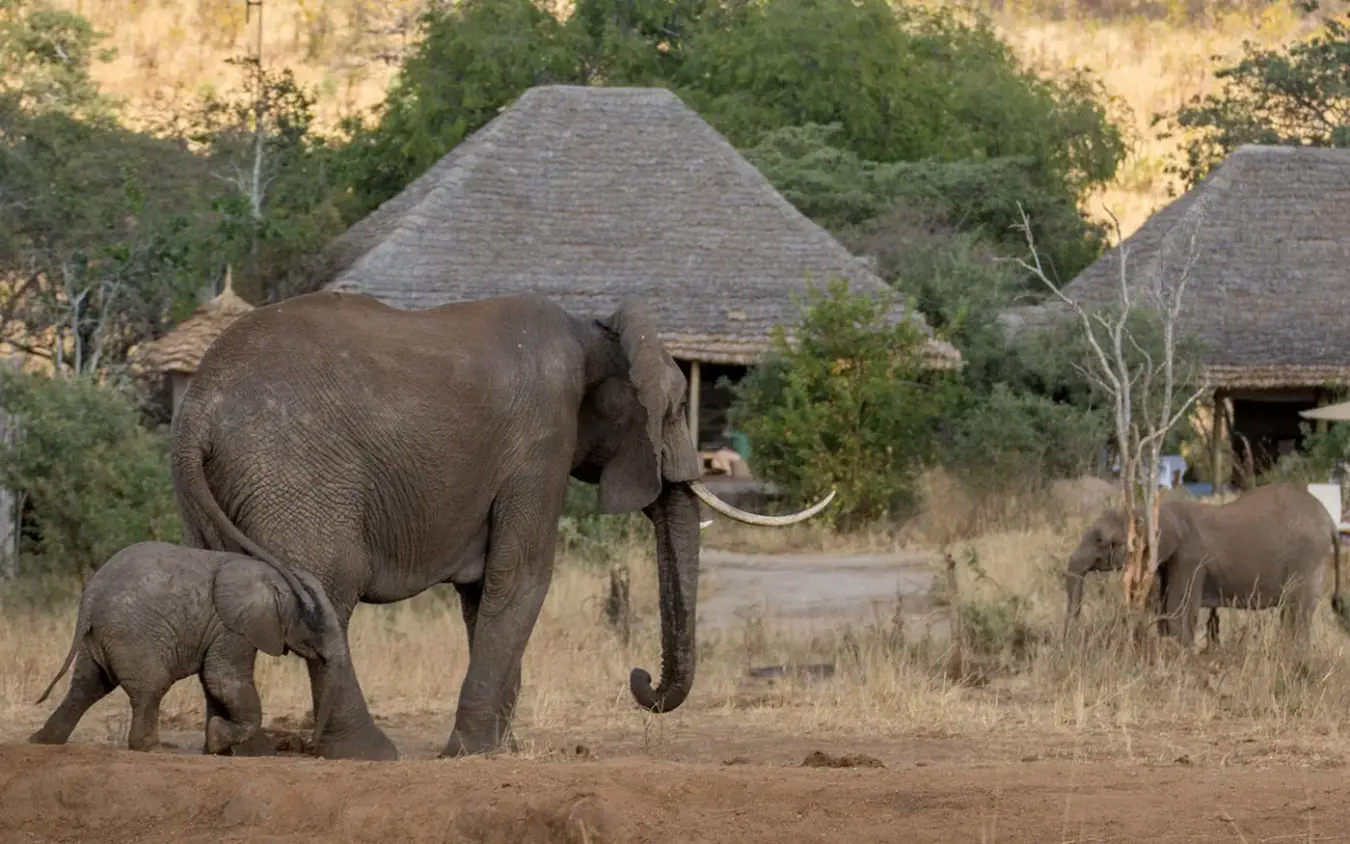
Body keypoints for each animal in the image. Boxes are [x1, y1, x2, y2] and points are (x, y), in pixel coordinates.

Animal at [28, 541, 345, 754]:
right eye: (316, 621)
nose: (309, 746)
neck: (273, 575)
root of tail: (91, 594)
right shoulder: (233, 627)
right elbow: (224, 680)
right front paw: (217, 739)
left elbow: (215, 680)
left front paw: (217, 745)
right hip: (132, 634)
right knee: (150, 688)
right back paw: (154, 748)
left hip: (98, 635)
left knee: (88, 685)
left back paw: (43, 740)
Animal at [169, 290, 835, 761]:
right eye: (671, 410)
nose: (640, 677)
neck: (592, 328)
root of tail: (198, 406)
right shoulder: (541, 444)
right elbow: (520, 578)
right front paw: (473, 754)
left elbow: (484, 591)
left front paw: (499, 750)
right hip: (293, 472)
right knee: (324, 594)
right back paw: (366, 754)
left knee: (233, 593)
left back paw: (236, 748)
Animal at [1063, 482, 1345, 649]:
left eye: (1102, 541)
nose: (1073, 633)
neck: (1150, 511)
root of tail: (1330, 521)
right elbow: (1166, 608)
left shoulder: (1190, 558)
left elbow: (1178, 609)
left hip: (1307, 559)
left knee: (1298, 612)